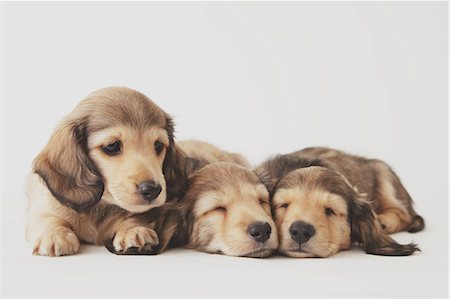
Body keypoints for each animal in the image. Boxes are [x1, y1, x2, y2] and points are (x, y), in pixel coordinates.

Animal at [25, 87, 190, 258]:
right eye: (112, 146)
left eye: (158, 145)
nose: (153, 190)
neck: (101, 205)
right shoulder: (43, 206)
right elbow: (46, 217)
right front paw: (54, 234)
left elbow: (136, 216)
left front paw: (134, 230)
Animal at [256, 148, 426, 258]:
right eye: (283, 205)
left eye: (330, 210)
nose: (300, 231)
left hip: (385, 175)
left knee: (403, 213)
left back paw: (384, 221)